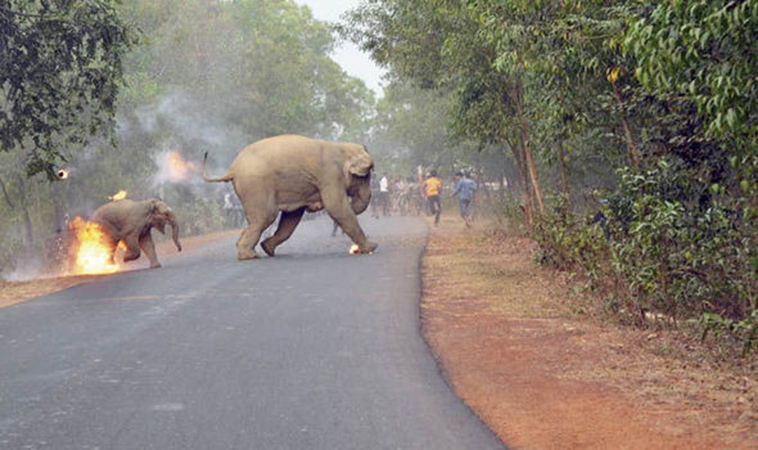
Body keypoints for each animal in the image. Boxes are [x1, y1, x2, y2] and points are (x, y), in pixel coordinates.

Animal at [203, 134, 377, 260]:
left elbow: (292, 217)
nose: (353, 204)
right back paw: (249, 256)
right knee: (265, 217)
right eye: (366, 176)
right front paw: (371, 247)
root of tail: (232, 169)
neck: (341, 148)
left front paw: (267, 247)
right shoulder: (330, 176)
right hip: (256, 185)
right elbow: (337, 207)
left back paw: (259, 251)